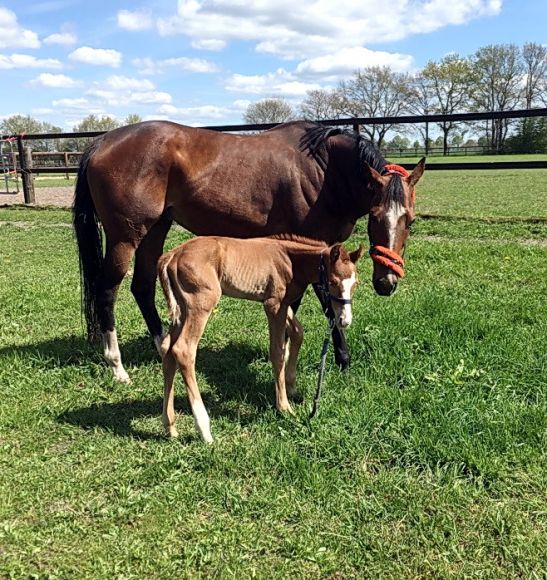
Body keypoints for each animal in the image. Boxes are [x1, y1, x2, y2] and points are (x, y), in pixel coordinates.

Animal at [158, 233, 364, 442]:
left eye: (355, 284)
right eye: (333, 282)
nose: (345, 320)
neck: (291, 260)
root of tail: (172, 255)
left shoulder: (283, 304)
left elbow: (298, 333)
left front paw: (292, 387)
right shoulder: (273, 305)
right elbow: (278, 351)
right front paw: (284, 407)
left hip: (181, 309)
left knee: (167, 347)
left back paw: (170, 426)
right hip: (201, 304)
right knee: (183, 349)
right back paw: (204, 429)